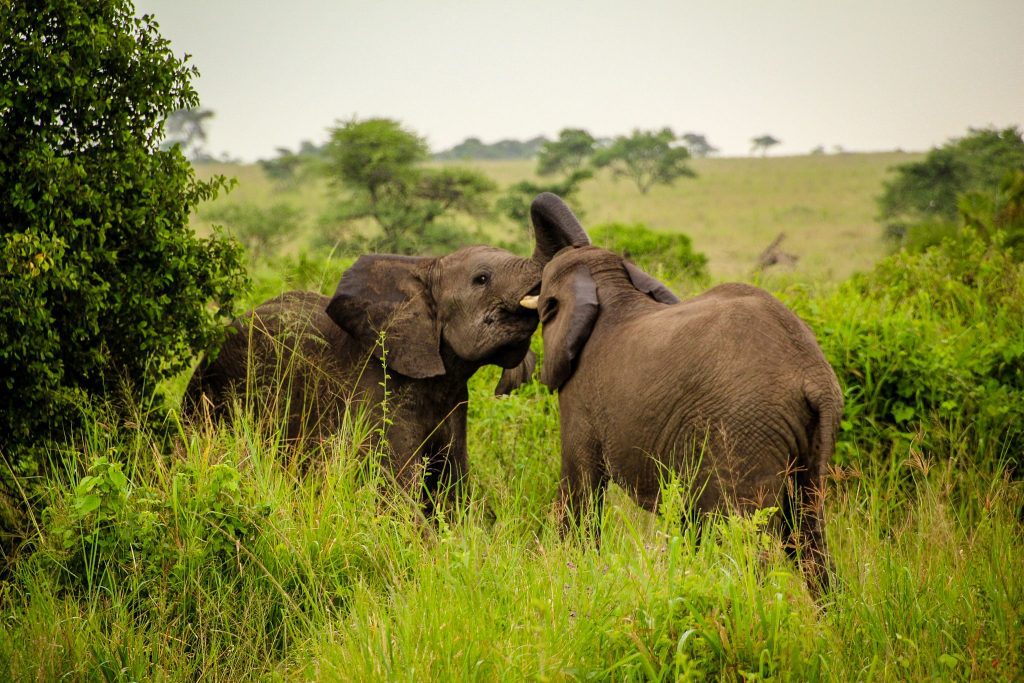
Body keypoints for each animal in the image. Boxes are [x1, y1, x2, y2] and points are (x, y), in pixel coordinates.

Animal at [524, 192, 843, 593]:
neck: (610, 285)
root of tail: (813, 376)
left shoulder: (579, 397)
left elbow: (580, 487)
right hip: (807, 445)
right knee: (808, 531)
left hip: (745, 433)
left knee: (748, 540)